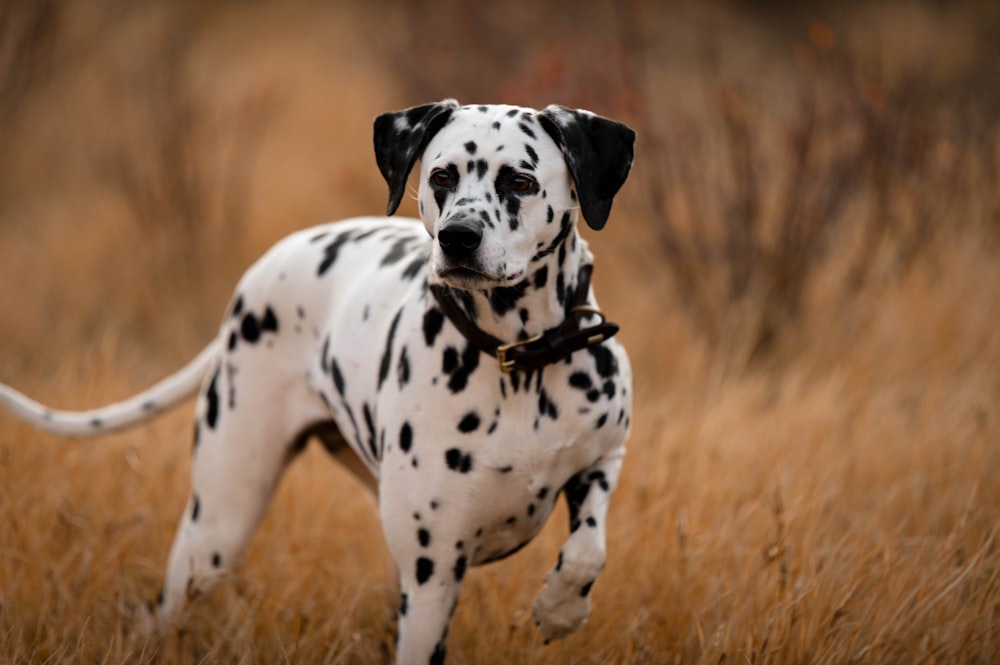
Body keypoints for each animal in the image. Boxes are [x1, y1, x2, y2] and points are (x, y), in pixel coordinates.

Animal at [0, 100, 632, 664]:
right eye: (441, 176)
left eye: (521, 181)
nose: (457, 236)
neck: (518, 361)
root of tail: (260, 271)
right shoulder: (432, 577)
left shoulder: (603, 456)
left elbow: (589, 548)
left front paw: (561, 608)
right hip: (218, 525)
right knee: (168, 608)